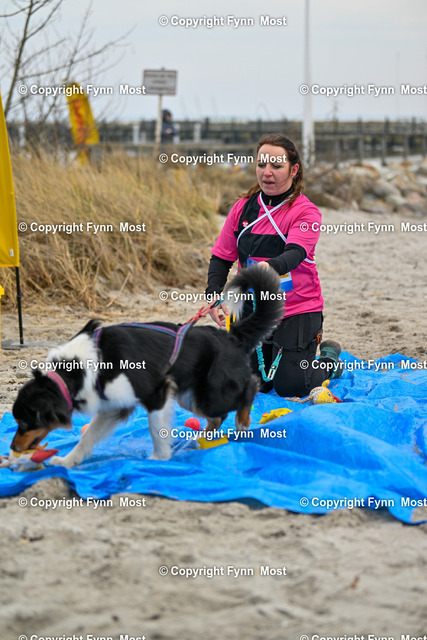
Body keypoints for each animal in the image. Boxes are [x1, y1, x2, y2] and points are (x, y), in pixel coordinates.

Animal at [11, 265, 283, 467]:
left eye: (23, 423)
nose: (13, 447)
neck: (79, 370)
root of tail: (231, 336)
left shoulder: (156, 394)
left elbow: (155, 431)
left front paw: (158, 460)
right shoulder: (113, 406)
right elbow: (86, 437)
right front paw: (68, 461)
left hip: (211, 394)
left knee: (249, 388)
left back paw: (242, 422)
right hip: (189, 397)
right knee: (218, 417)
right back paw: (202, 439)